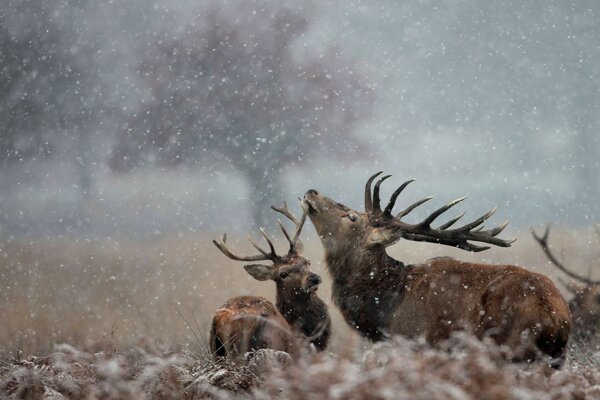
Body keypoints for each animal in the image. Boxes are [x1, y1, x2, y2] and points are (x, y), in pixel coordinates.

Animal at [302, 172, 568, 366]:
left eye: (352, 217)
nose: (311, 192)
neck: (385, 312)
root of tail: (555, 316)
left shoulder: (419, 343)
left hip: (506, 347)